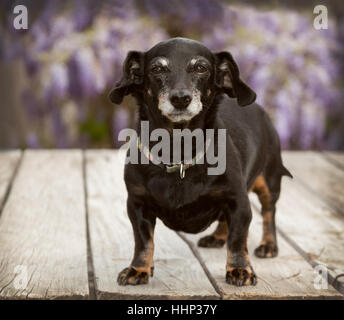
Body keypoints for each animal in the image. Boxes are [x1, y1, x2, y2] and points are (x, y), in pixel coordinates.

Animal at [109, 38, 292, 288]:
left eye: (200, 68)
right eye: (157, 69)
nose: (180, 98)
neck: (178, 149)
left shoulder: (238, 201)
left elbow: (237, 240)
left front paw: (240, 269)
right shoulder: (137, 204)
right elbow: (143, 241)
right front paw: (138, 269)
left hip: (269, 180)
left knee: (268, 212)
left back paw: (268, 245)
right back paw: (217, 237)